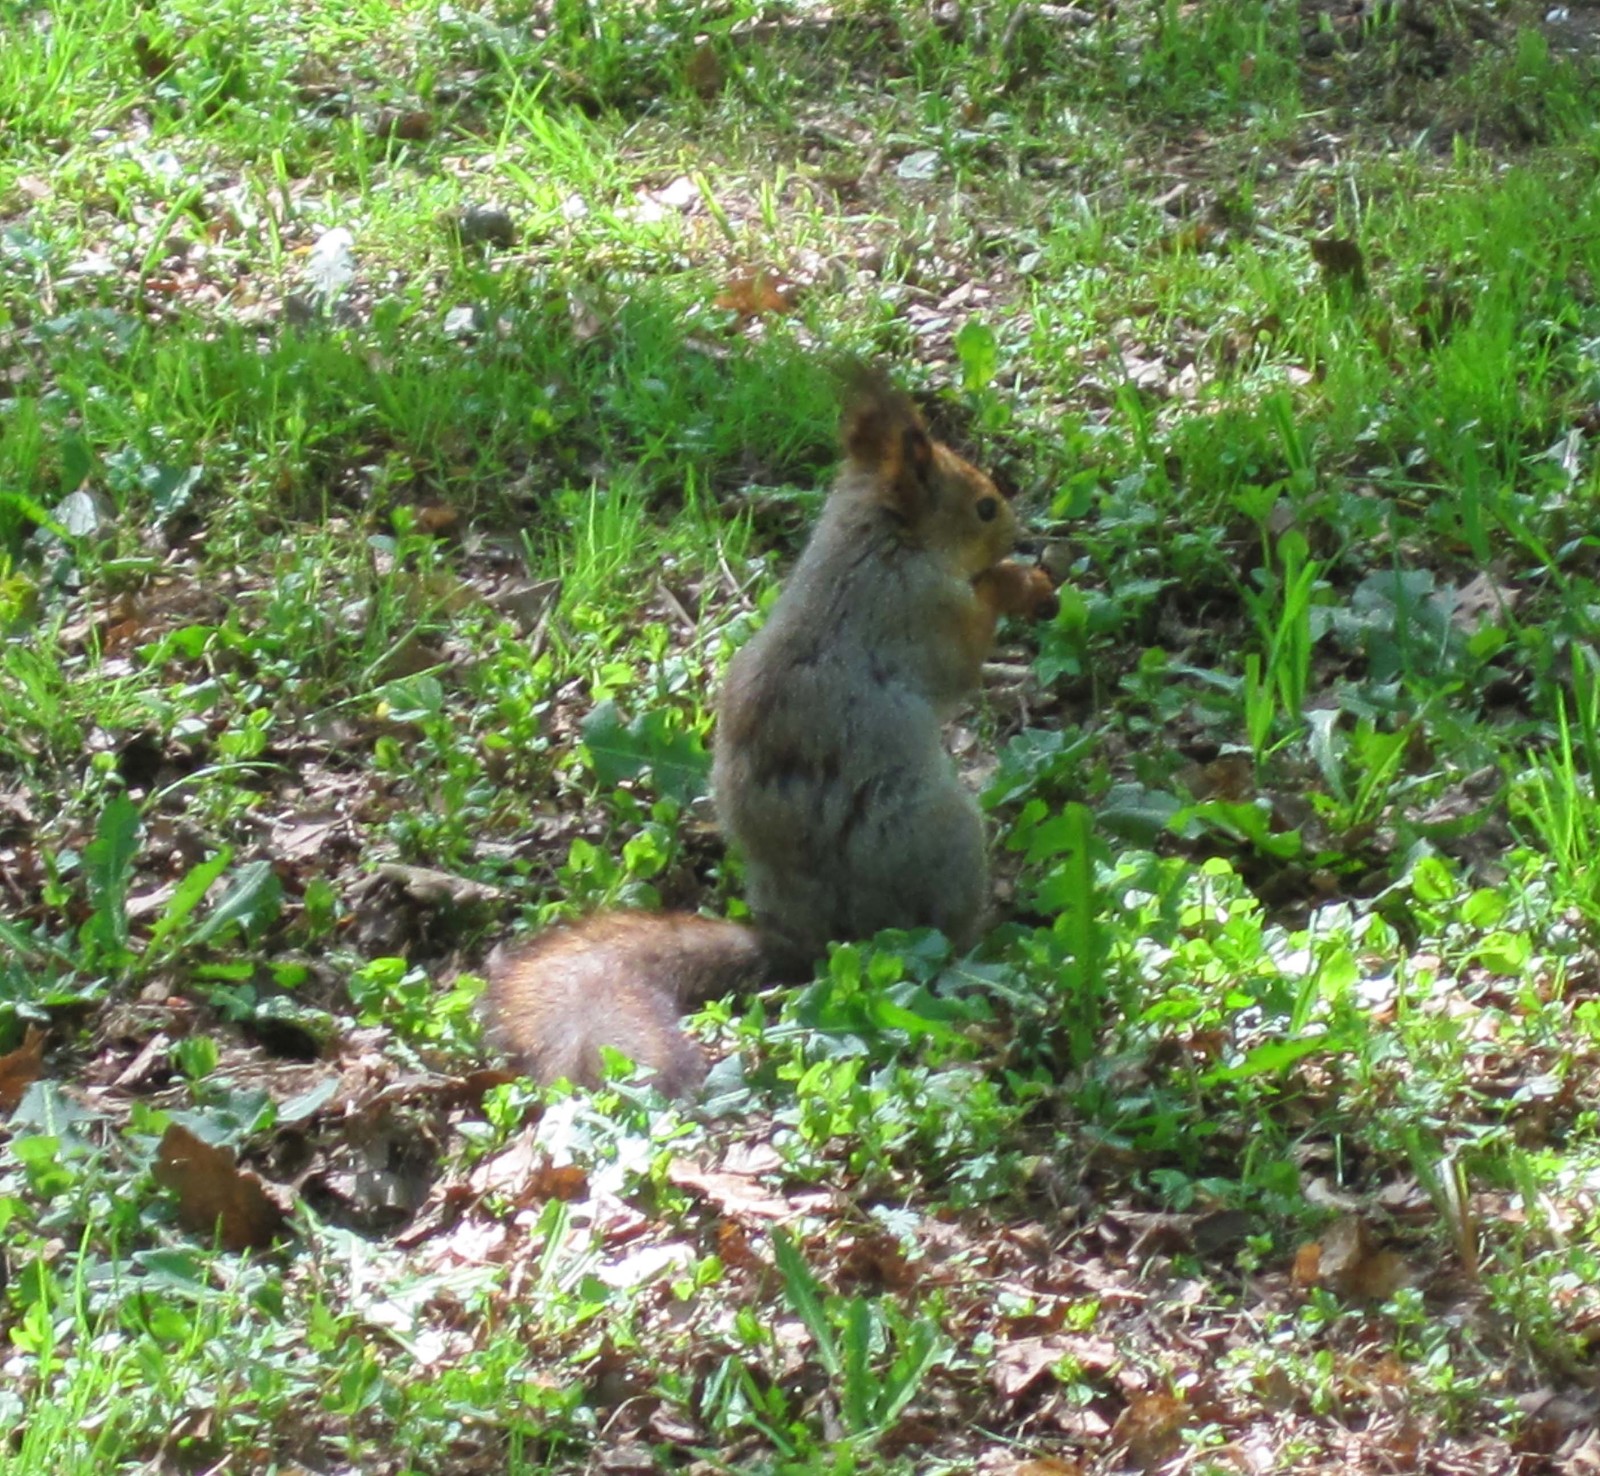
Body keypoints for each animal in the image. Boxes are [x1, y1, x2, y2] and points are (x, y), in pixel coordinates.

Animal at [486, 376, 1062, 1094]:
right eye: (984, 507)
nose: (1018, 530)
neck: (875, 544)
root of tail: (805, 938)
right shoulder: (920, 611)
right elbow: (963, 658)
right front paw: (1017, 582)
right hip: (944, 841)